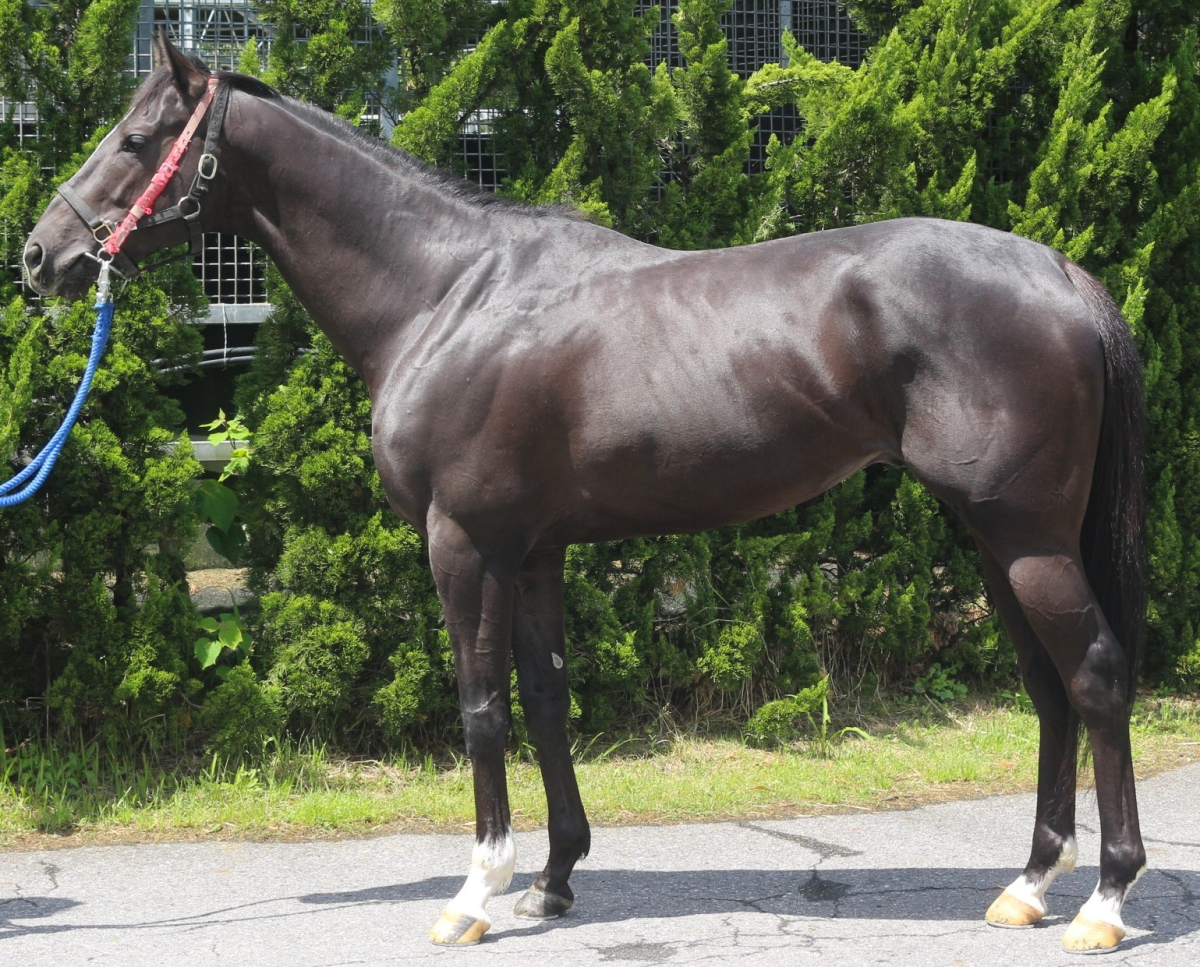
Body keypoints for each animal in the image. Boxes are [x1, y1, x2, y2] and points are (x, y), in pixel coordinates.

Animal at [22, 32, 1147, 953]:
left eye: (136, 138)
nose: (42, 255)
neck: (448, 295)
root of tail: (1060, 273)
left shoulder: (465, 543)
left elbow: (481, 706)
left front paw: (476, 893)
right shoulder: (535, 550)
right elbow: (549, 697)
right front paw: (555, 879)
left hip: (1028, 538)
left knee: (1093, 675)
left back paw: (1102, 900)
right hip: (995, 538)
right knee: (1048, 686)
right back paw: (1027, 885)